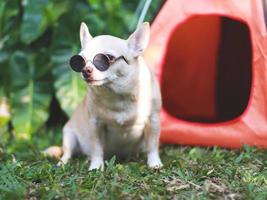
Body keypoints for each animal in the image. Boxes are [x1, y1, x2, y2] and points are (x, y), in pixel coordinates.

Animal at [44, 21, 162, 170]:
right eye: (80, 60)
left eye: (108, 58)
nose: (85, 70)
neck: (118, 95)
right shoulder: (96, 125)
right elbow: (97, 148)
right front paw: (95, 166)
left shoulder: (153, 121)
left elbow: (152, 145)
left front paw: (154, 162)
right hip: (69, 135)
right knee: (67, 153)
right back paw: (63, 163)